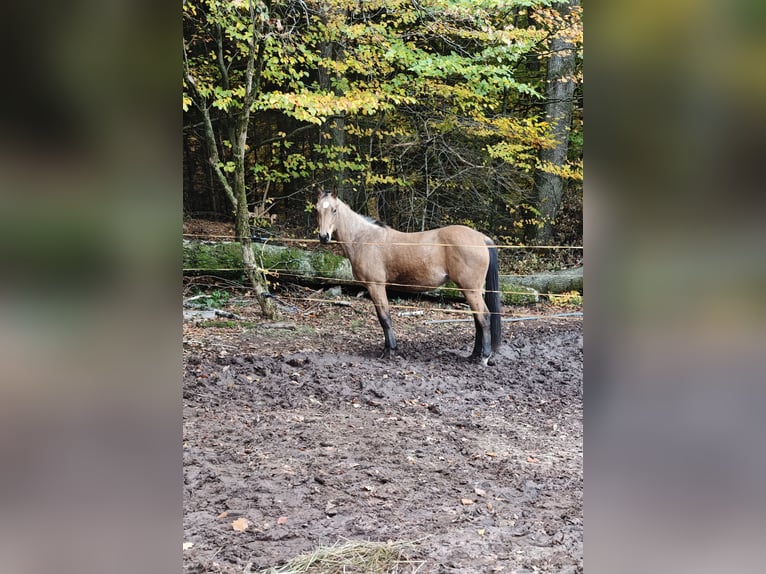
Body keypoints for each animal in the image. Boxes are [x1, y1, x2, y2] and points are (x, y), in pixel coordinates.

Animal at [315, 189, 502, 364]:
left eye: (334, 210)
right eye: (317, 209)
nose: (324, 237)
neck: (363, 238)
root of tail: (481, 238)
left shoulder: (376, 286)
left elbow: (385, 318)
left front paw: (390, 351)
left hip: (471, 289)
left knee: (484, 317)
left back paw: (483, 357)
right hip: (471, 290)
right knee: (477, 320)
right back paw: (473, 355)